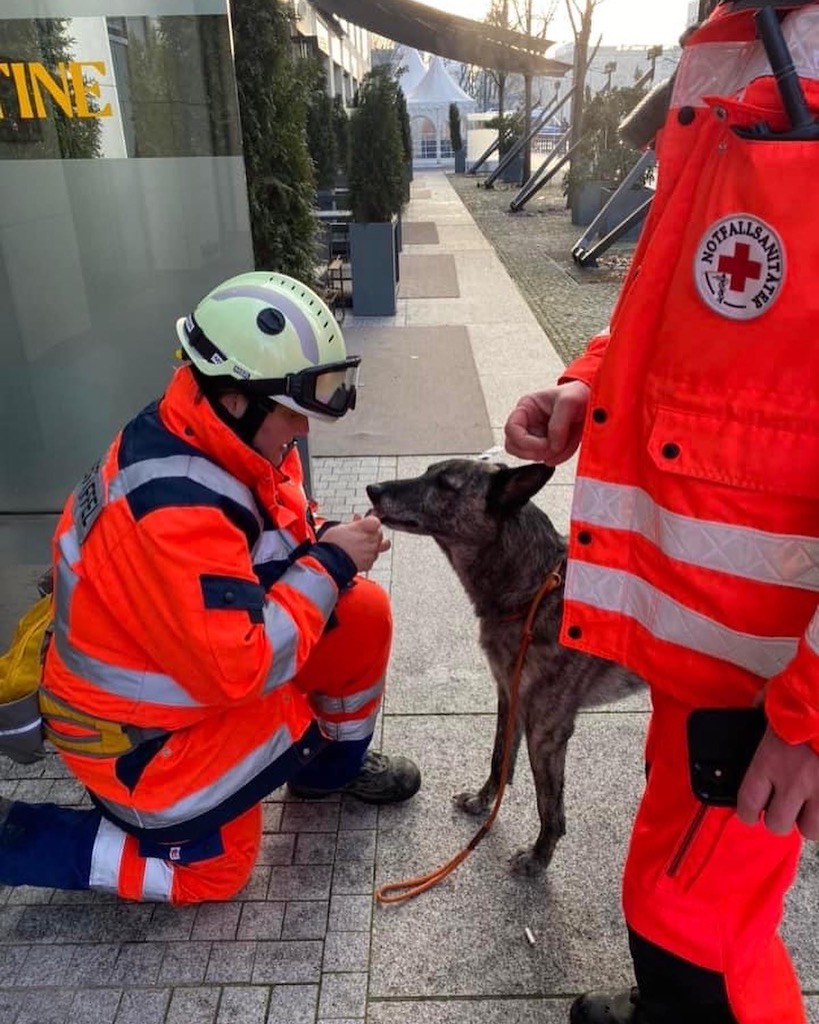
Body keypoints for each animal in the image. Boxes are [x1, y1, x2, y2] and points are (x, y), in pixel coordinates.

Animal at [368, 460, 642, 876]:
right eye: (427, 471)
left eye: (445, 484)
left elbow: (550, 806)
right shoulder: (509, 697)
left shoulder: (546, 732)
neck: (536, 589)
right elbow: (499, 758)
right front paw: (483, 803)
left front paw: (539, 857)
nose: (373, 489)